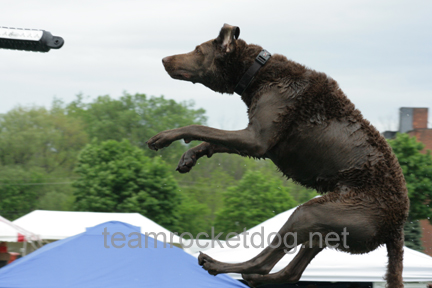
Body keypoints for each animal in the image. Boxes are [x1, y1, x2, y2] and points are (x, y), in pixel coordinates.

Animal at [148, 23, 408, 286]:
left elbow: (201, 128)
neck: (258, 72)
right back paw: (249, 276)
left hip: (315, 212)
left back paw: (217, 264)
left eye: (198, 50)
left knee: (265, 261)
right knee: (291, 271)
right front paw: (188, 157)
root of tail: (396, 228)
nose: (163, 59)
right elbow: (212, 141)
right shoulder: (257, 141)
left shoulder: (256, 139)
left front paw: (164, 137)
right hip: (325, 228)